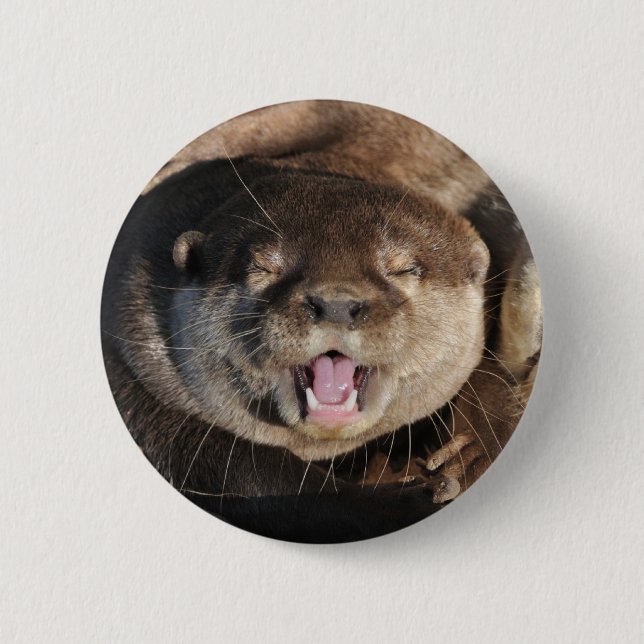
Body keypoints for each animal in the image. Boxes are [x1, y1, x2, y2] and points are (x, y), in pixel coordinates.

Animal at [101, 101, 541, 543]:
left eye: (404, 269)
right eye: (263, 267)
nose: (336, 304)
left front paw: (471, 450)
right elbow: (251, 477)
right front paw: (413, 499)